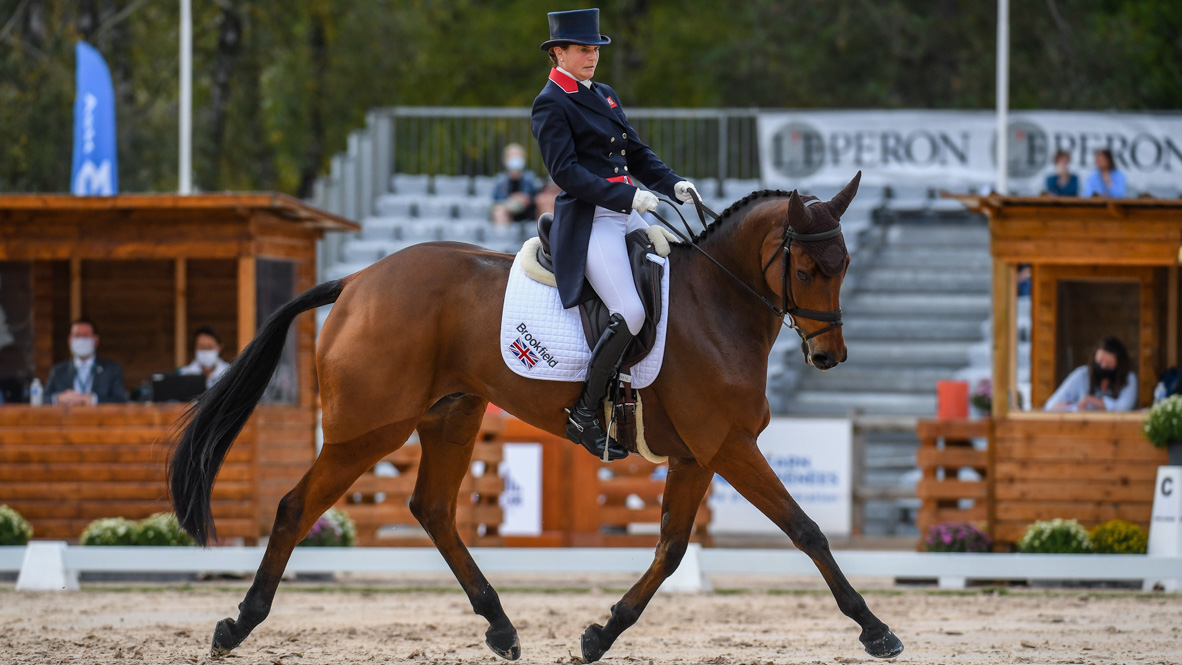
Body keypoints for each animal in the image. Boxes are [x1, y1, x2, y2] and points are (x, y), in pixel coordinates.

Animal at [168, 170, 904, 662]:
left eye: (844, 265)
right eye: (806, 269)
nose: (829, 355)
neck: (716, 304)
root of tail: (356, 281)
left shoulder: (698, 454)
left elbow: (670, 550)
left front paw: (600, 632)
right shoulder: (728, 446)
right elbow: (807, 530)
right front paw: (875, 629)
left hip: (452, 414)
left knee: (433, 509)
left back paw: (500, 625)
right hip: (368, 429)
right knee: (297, 506)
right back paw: (238, 624)